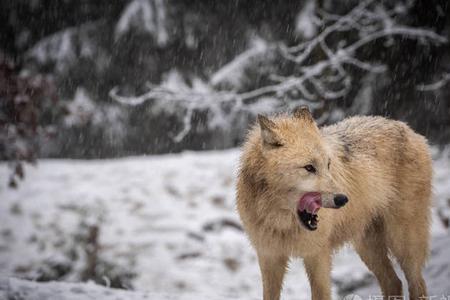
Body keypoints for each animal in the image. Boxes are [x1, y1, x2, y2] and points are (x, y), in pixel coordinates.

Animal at [236, 107, 432, 300]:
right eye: (309, 167)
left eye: (328, 164)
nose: (342, 199)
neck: (280, 221)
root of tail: (407, 127)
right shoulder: (269, 257)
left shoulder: (318, 256)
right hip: (367, 246)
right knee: (394, 282)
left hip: (404, 243)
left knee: (417, 284)